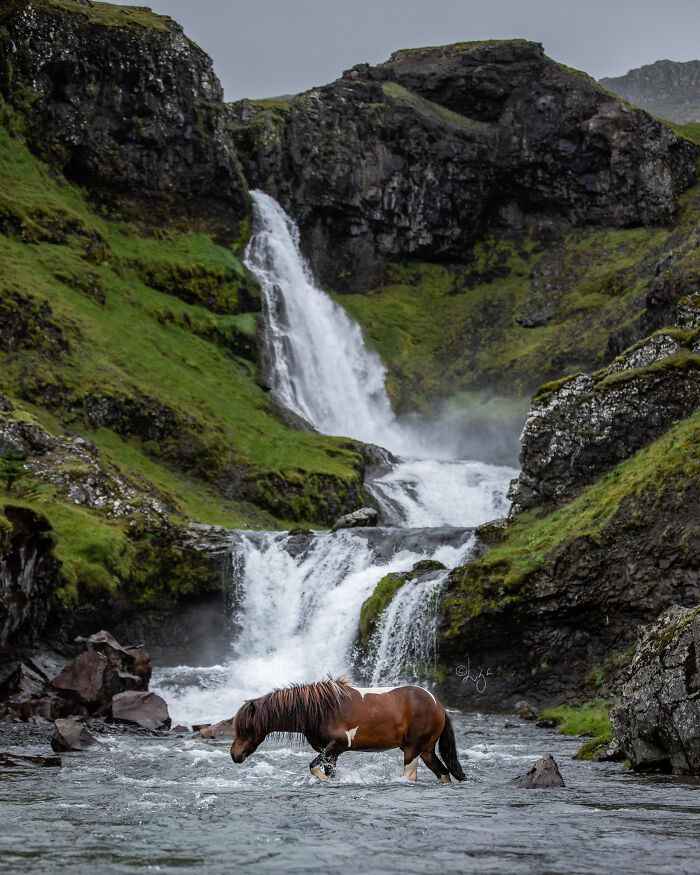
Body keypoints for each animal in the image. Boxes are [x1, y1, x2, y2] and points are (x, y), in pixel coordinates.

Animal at [229, 677, 466, 783]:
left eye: (244, 728)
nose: (234, 755)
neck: (320, 709)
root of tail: (438, 705)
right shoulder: (330, 753)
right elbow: (327, 771)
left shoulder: (337, 746)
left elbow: (314, 768)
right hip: (425, 750)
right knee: (443, 772)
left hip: (412, 749)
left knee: (411, 775)